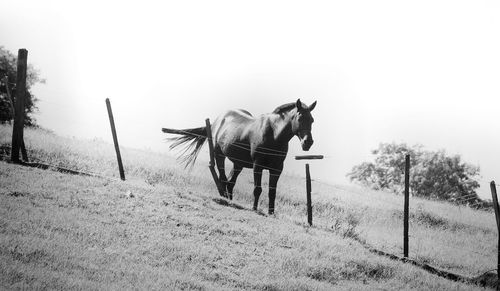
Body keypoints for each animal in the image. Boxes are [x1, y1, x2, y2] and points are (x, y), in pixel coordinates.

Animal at [162, 99, 316, 216]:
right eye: (300, 118)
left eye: (312, 120)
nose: (308, 142)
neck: (274, 134)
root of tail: (217, 121)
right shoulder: (257, 166)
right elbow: (257, 189)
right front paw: (255, 209)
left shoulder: (277, 169)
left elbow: (272, 192)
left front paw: (271, 212)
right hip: (219, 156)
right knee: (223, 178)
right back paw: (224, 197)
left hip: (238, 163)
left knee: (231, 182)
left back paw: (231, 200)